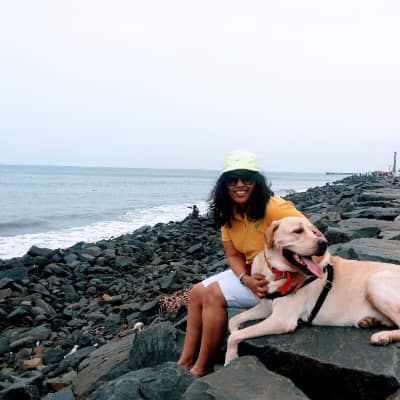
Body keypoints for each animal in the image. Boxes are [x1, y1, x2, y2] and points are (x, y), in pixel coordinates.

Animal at [225, 216, 400, 365]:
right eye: (298, 231)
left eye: (314, 232)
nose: (324, 243)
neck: (277, 272)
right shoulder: (266, 307)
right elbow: (233, 320)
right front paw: (235, 328)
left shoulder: (282, 320)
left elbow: (234, 336)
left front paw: (230, 359)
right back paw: (370, 321)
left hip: (375, 281)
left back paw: (383, 336)